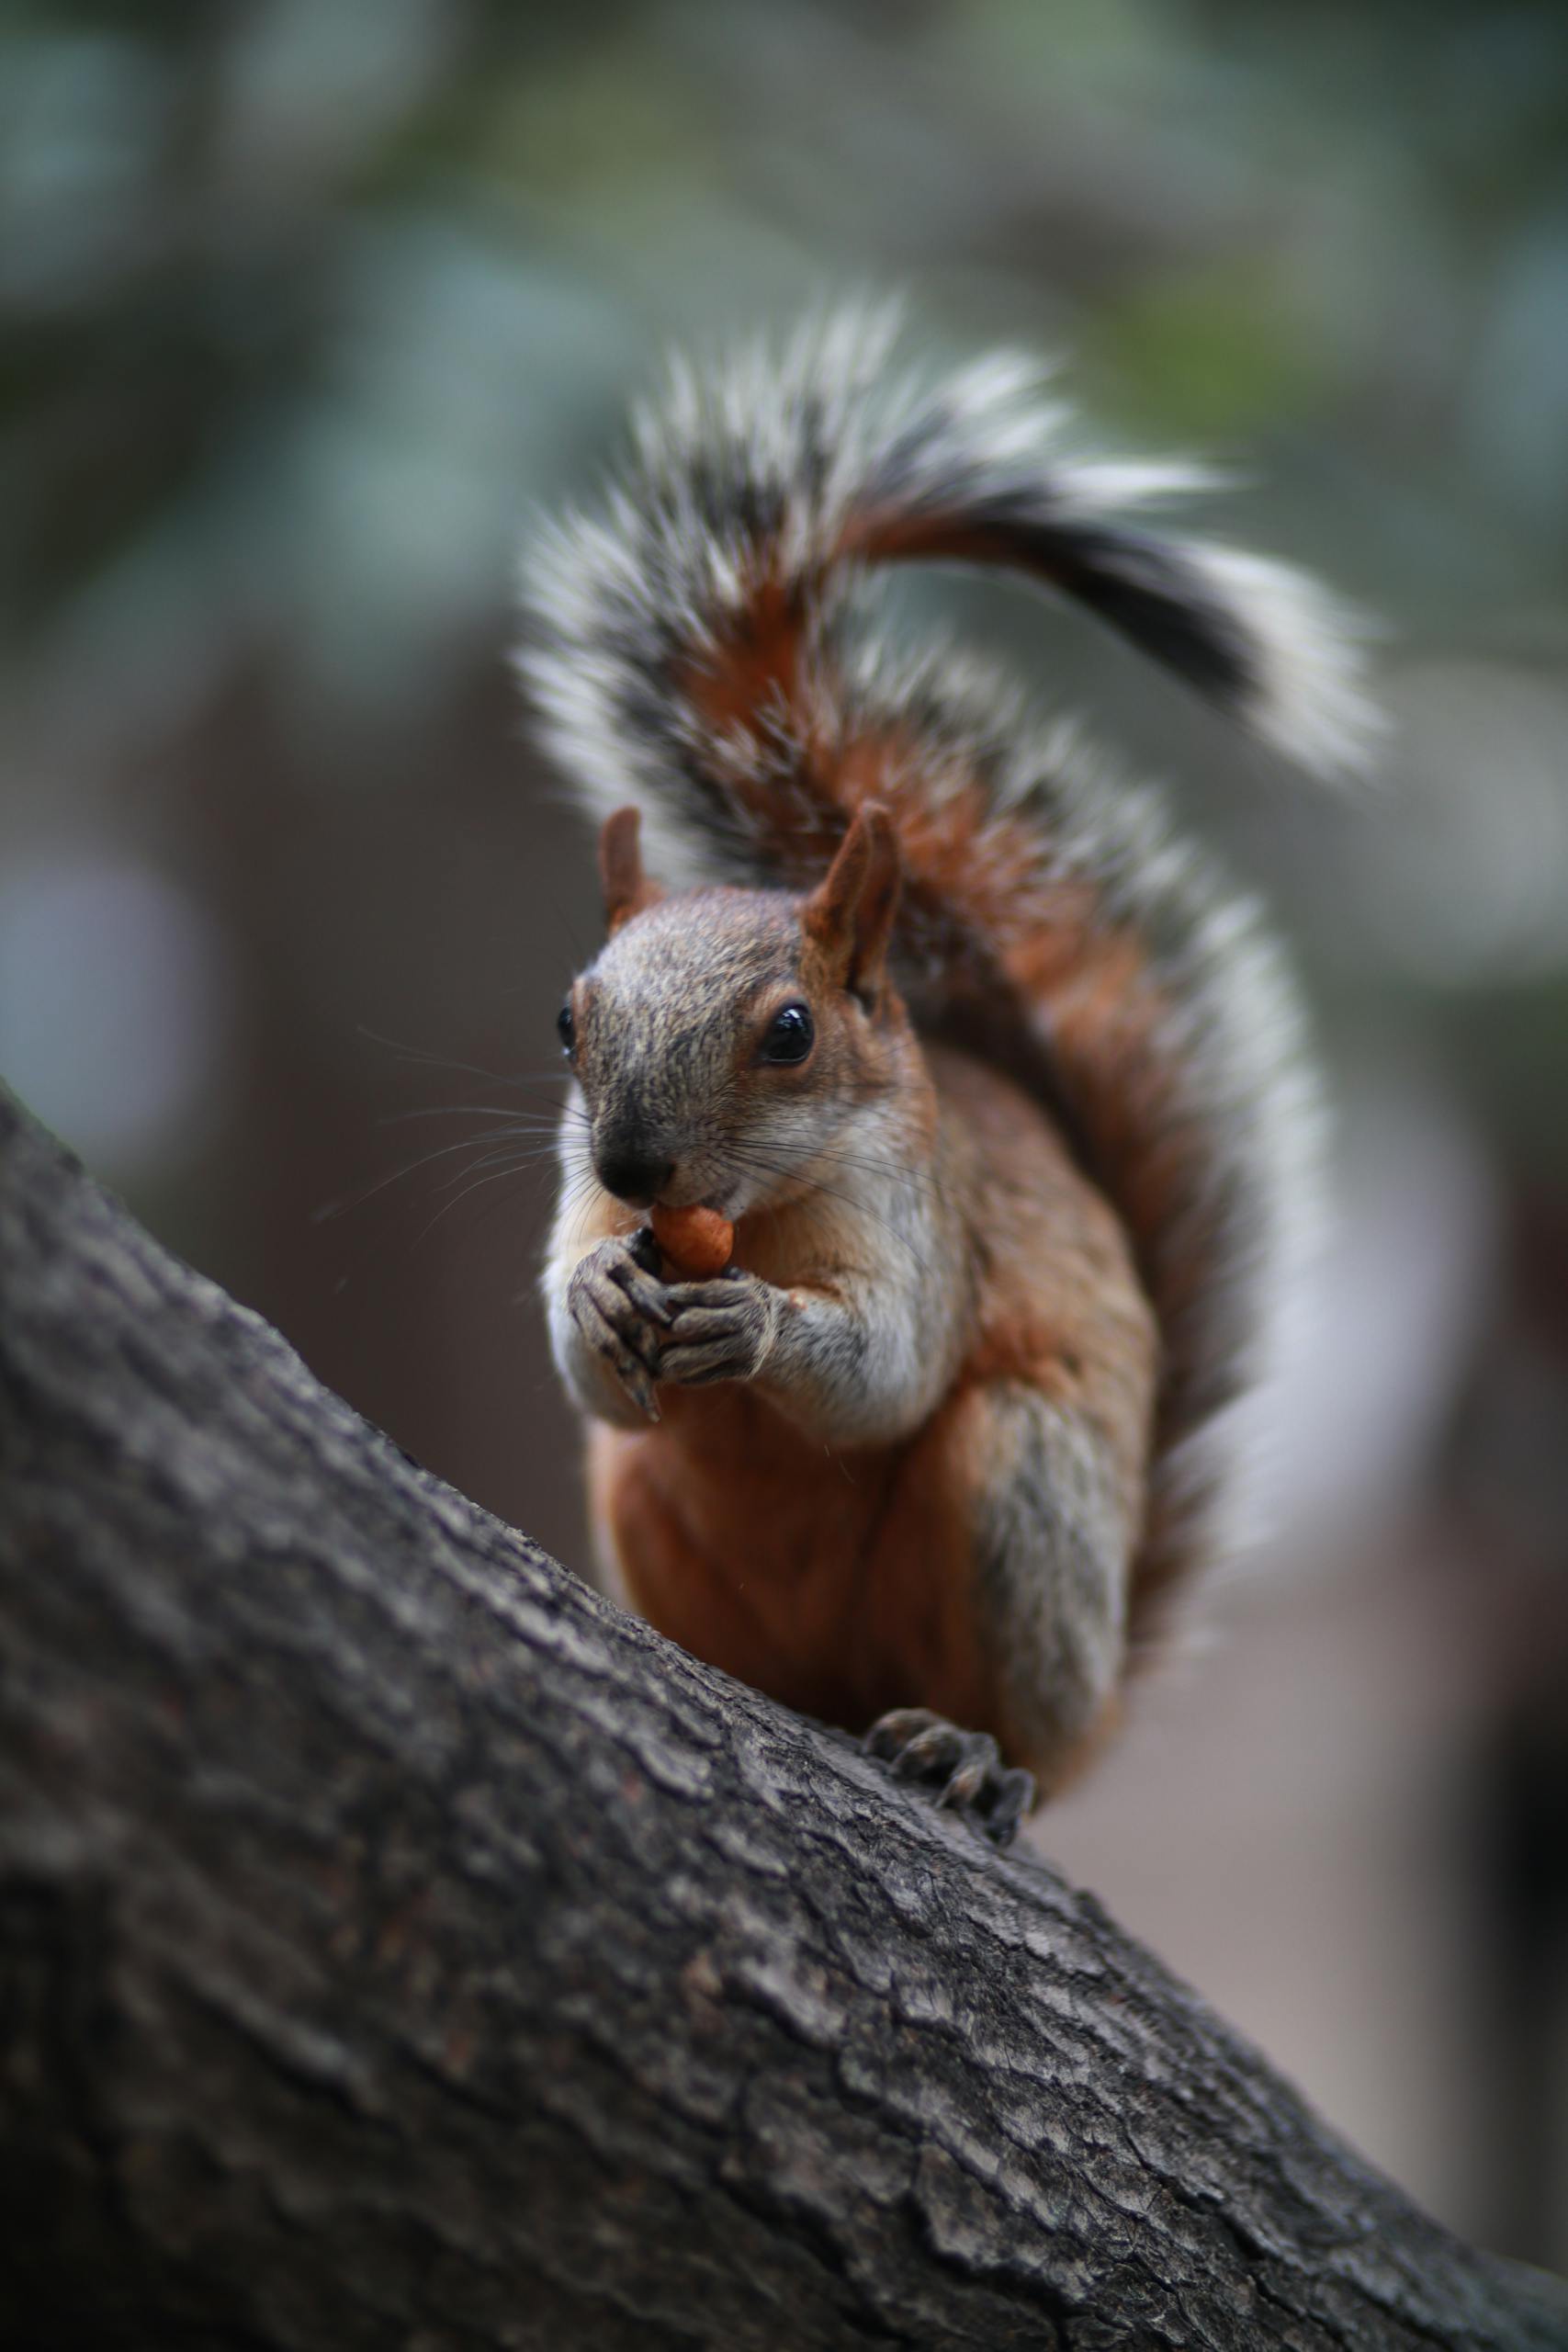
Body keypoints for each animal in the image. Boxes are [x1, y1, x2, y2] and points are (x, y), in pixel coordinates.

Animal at [519, 308, 1375, 1844]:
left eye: (789, 1033)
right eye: (568, 1019)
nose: (628, 1164)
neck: (757, 1208)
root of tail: (1100, 1698)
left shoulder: (926, 1223)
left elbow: (887, 1371)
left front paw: (755, 1324)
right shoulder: (577, 1212)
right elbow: (586, 1364)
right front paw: (605, 1289)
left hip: (1016, 1488)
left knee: (1007, 1695)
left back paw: (974, 1750)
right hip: (645, 1505)